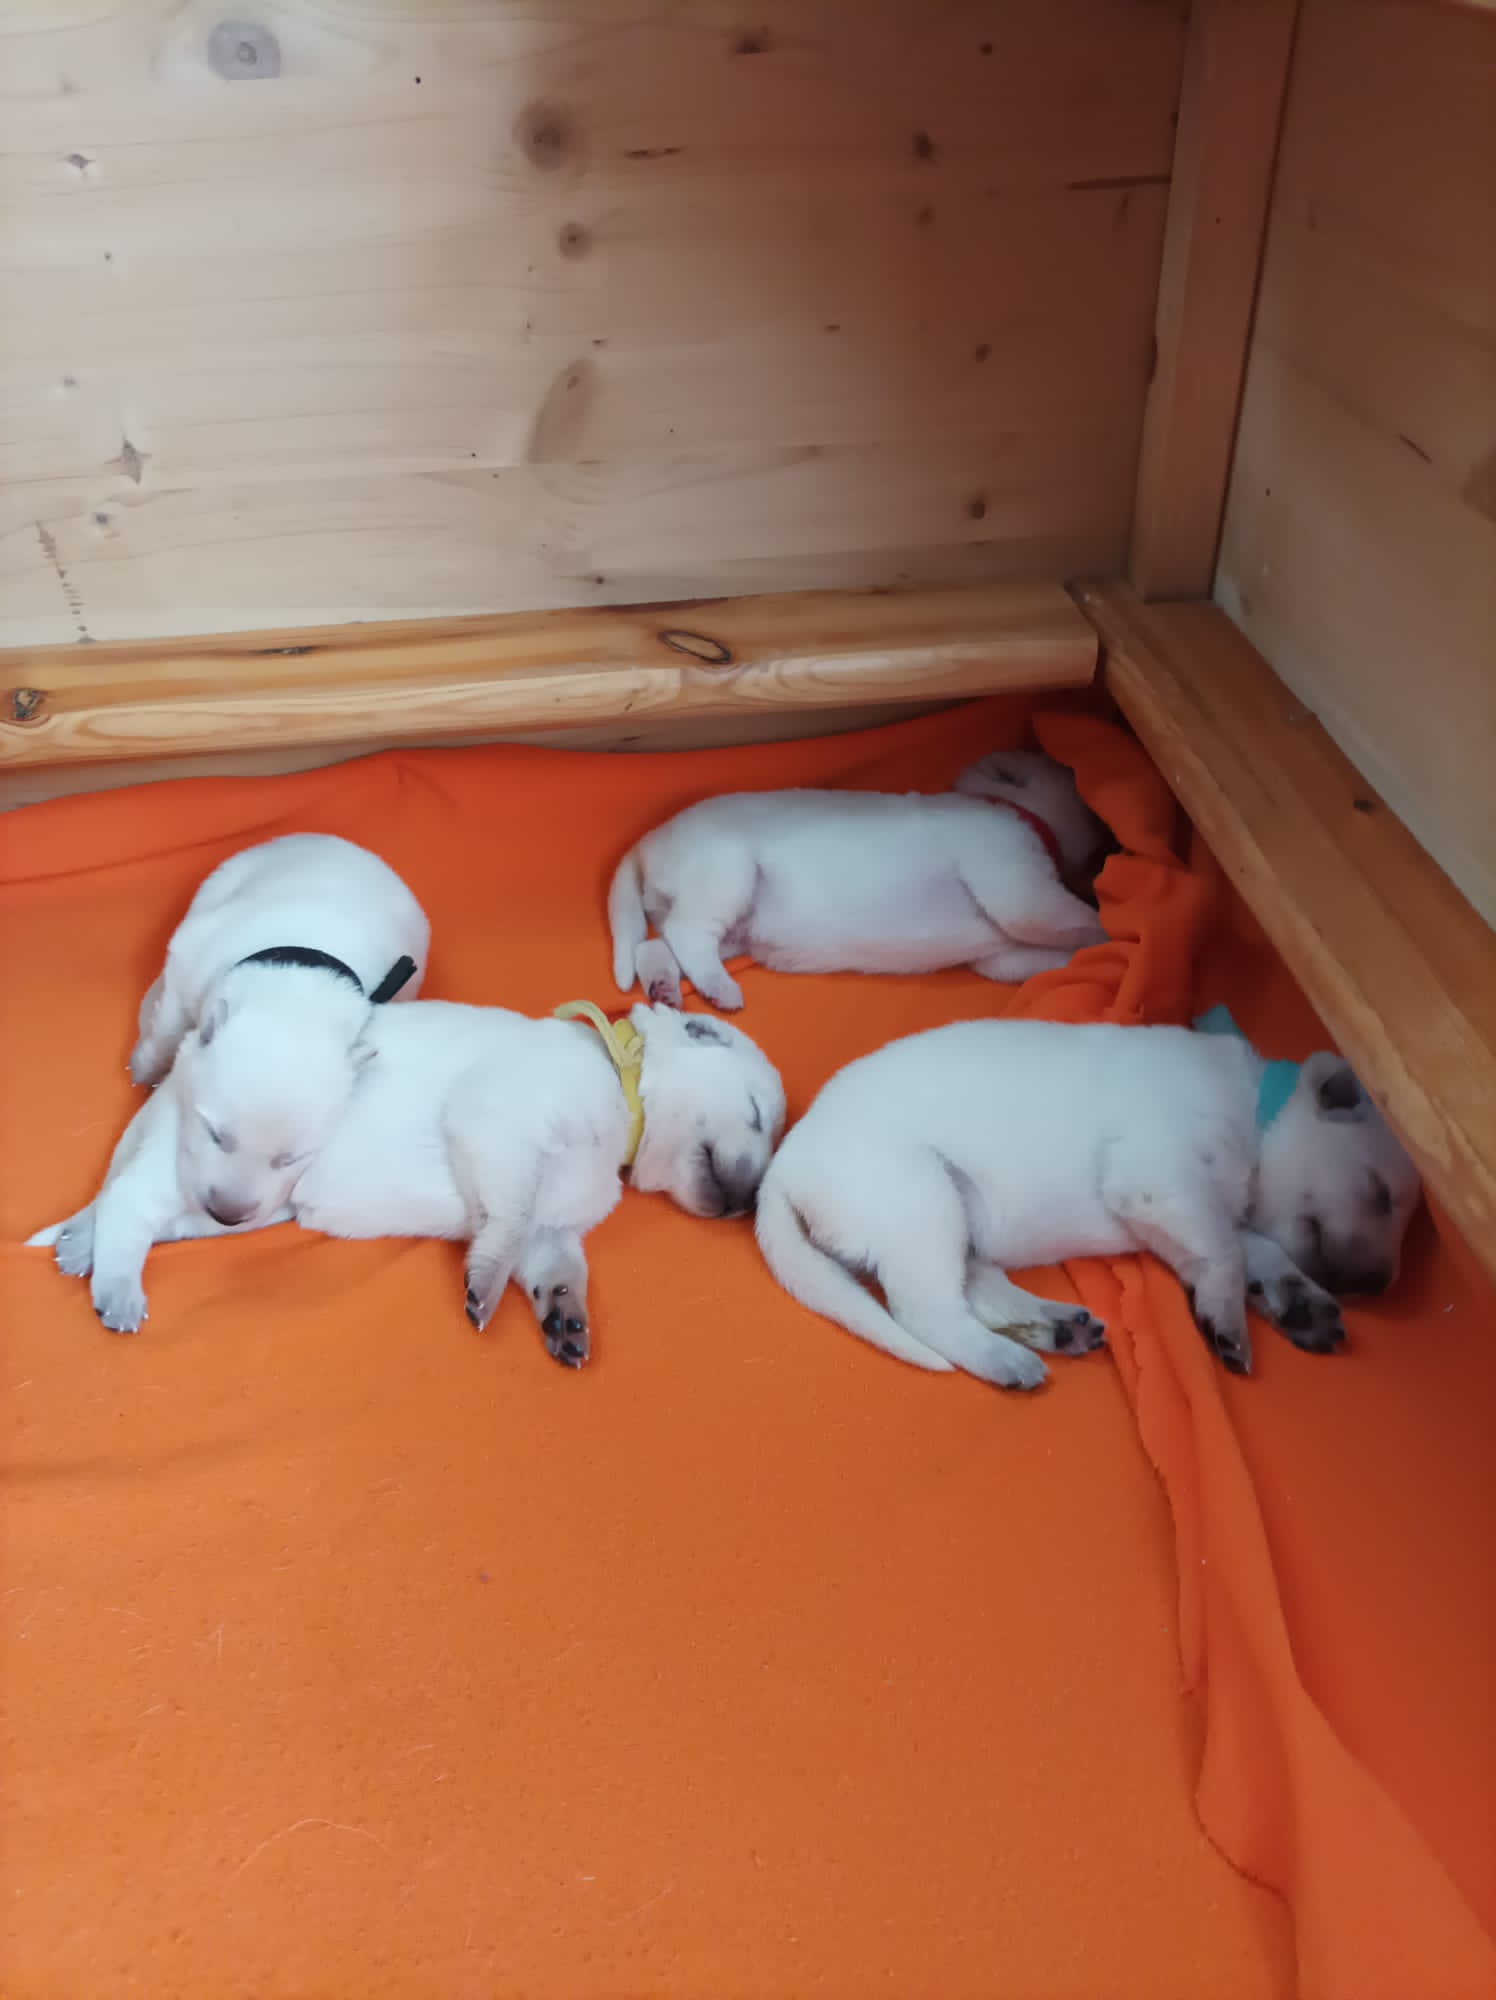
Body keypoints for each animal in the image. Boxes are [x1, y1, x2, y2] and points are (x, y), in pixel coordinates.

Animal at [30, 1001, 786, 1360]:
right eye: (757, 1115)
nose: (745, 1205)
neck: (625, 1097)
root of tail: (167, 1085)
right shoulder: (508, 1120)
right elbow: (507, 1224)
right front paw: (484, 1288)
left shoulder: (556, 1222)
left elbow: (555, 1263)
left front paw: (566, 1318)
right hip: (199, 1171)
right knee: (129, 1203)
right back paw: (115, 1287)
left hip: (241, 1209)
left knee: (127, 1209)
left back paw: (80, 1247)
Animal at [607, 749, 1108, 1011]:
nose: (1108, 846)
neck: (1027, 816)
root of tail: (649, 840)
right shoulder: (1016, 884)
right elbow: (1071, 916)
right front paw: (1109, 925)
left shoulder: (1002, 956)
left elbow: (1044, 953)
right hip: (726, 874)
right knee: (686, 934)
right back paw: (720, 988)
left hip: (729, 928)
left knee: (653, 946)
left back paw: (665, 988)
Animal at [755, 1016, 1422, 1388]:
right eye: (1380, 1192)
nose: (1378, 1286)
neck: (1256, 1109)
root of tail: (781, 1169)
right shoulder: (1156, 1178)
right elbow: (1228, 1253)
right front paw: (1230, 1314)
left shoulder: (1185, 1209)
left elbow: (1249, 1249)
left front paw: (1296, 1302)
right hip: (920, 1200)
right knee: (928, 1312)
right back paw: (1004, 1358)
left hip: (956, 1215)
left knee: (976, 1288)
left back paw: (1055, 1327)